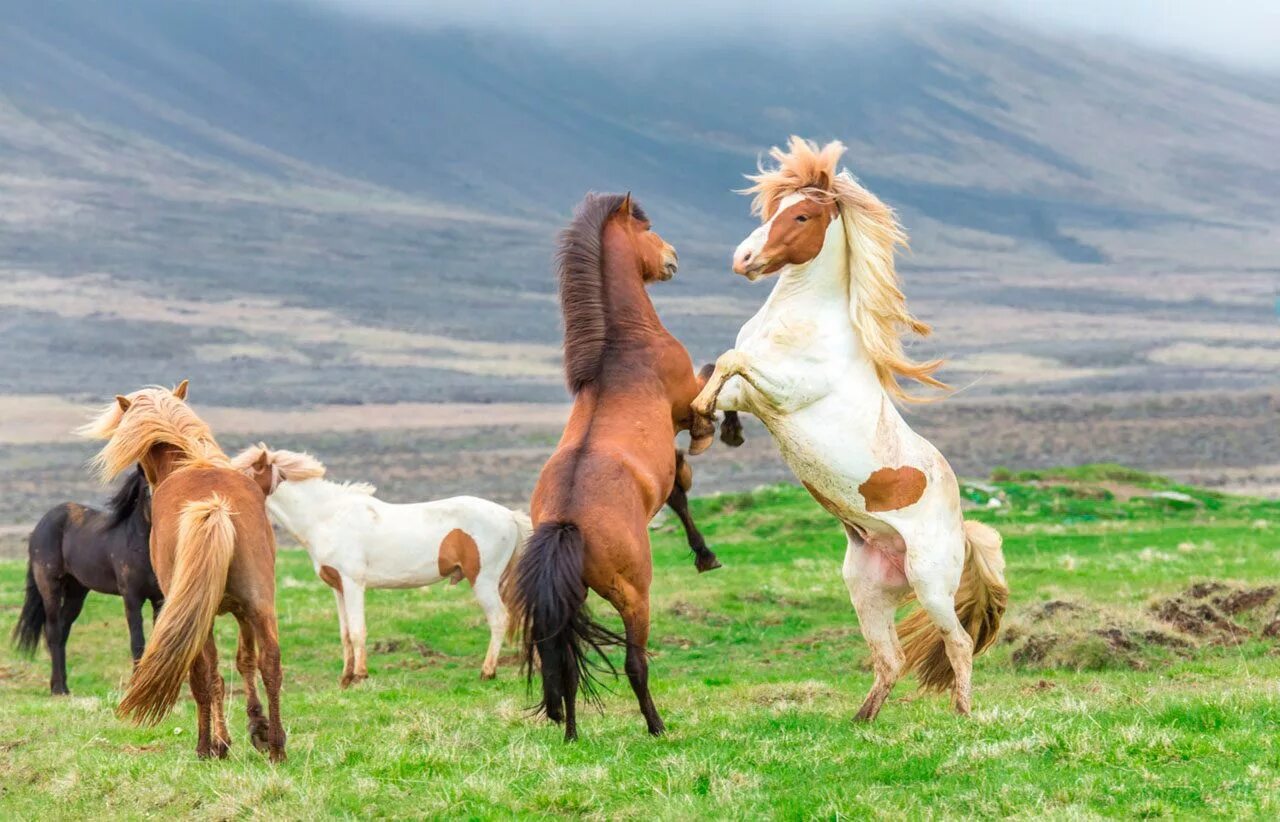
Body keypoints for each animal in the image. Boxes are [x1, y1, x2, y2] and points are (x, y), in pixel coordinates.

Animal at [12, 463, 162, 686]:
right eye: (145, 489)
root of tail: (42, 524)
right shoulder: (132, 598)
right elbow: (138, 642)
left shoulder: (159, 598)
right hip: (49, 586)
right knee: (53, 631)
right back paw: (59, 687)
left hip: (76, 591)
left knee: (63, 630)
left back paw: (62, 686)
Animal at [232, 445, 532, 681]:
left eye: (244, 474)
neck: (326, 517)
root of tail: (509, 515)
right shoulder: (337, 588)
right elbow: (344, 633)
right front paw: (345, 677)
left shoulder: (353, 584)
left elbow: (357, 630)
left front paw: (359, 676)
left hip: (484, 581)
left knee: (498, 619)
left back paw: (487, 672)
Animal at [504, 190, 716, 737]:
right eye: (648, 229)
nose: (672, 257)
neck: (621, 347)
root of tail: (567, 523)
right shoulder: (685, 402)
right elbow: (712, 386)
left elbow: (678, 486)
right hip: (633, 593)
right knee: (635, 663)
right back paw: (657, 726)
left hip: (569, 601)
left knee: (563, 664)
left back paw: (572, 735)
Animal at [696, 135, 1003, 717]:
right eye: (770, 209)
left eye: (802, 214)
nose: (742, 260)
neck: (802, 320)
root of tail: (963, 527)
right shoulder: (753, 395)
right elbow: (713, 370)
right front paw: (708, 426)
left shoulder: (784, 393)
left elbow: (728, 359)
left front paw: (703, 419)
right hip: (866, 588)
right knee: (891, 660)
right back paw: (860, 720)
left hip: (930, 582)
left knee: (957, 641)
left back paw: (963, 713)